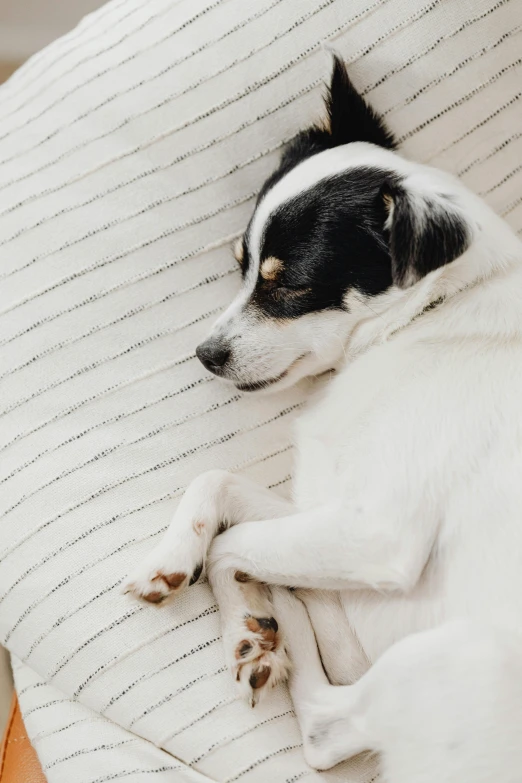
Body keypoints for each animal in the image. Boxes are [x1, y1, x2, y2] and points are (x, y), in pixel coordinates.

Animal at [123, 58, 522, 780]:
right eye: (241, 267)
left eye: (289, 284)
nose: (205, 355)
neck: (429, 317)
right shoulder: (334, 515)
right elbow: (216, 483)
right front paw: (176, 560)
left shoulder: (377, 536)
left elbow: (231, 547)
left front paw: (247, 621)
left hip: (456, 655)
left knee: (323, 729)